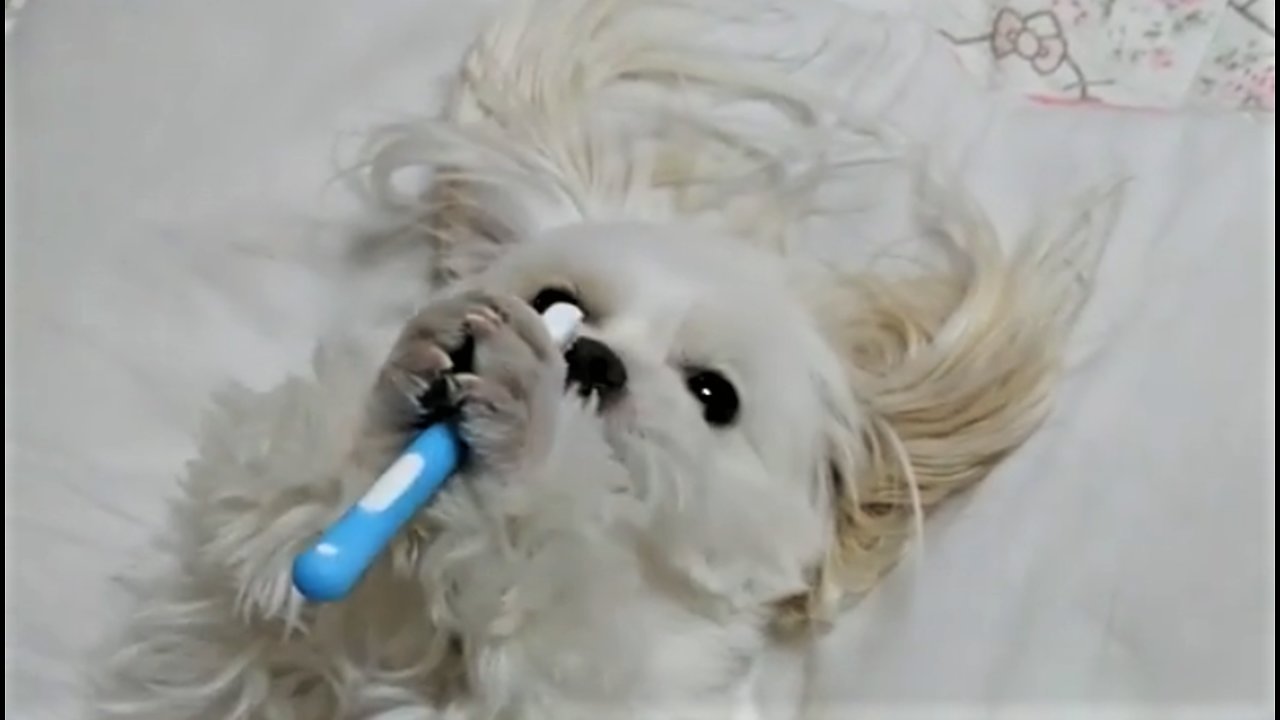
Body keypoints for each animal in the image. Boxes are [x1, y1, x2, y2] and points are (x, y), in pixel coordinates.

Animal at [97, 1, 1121, 717]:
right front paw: (401, 397)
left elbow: (546, 610)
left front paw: (530, 440)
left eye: (713, 394)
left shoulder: (602, 678)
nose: (587, 359)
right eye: (559, 304)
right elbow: (256, 555)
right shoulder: (259, 635)